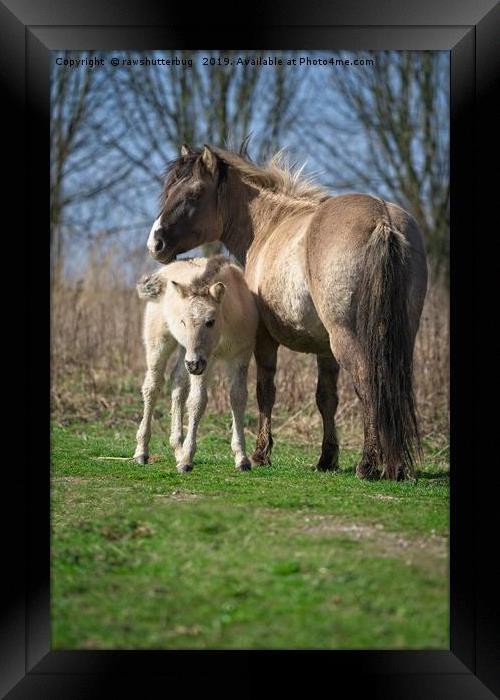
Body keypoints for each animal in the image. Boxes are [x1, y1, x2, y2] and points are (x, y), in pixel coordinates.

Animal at [134, 254, 258, 474]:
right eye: (183, 322)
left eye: (210, 321)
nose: (193, 365)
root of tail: (162, 273)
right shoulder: (205, 363)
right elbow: (197, 402)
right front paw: (187, 459)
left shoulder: (241, 356)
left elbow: (238, 398)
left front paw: (242, 458)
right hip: (162, 344)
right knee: (152, 386)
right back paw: (142, 452)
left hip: (186, 351)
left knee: (177, 383)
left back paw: (177, 448)